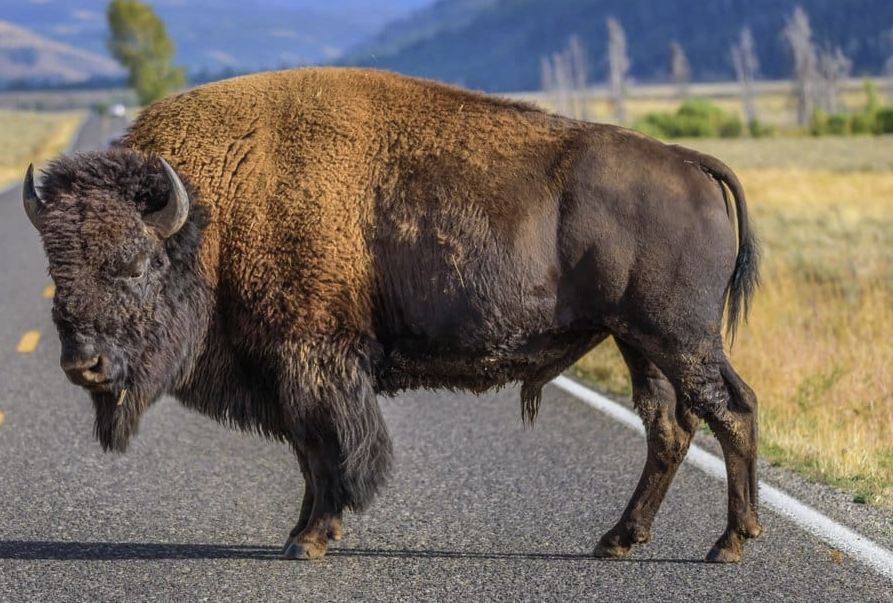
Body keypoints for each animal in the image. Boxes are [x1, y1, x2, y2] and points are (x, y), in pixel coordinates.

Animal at [22, 68, 760, 564]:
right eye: (56, 267)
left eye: (134, 263)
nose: (83, 363)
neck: (215, 207)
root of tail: (689, 162)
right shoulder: (291, 369)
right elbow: (309, 453)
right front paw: (304, 532)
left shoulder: (313, 359)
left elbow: (329, 448)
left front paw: (309, 539)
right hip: (639, 342)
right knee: (669, 426)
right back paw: (619, 540)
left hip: (677, 337)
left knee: (730, 409)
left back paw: (729, 543)